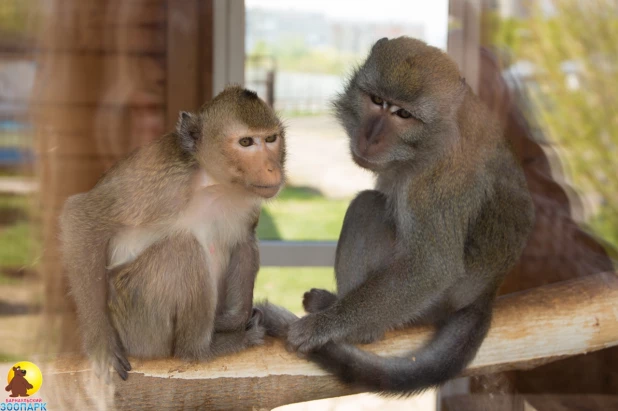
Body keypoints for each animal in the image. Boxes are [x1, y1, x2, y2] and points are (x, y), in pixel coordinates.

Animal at [59, 85, 286, 382]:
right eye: (246, 142)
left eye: (271, 138)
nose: (272, 168)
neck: (214, 182)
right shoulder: (160, 181)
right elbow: (80, 217)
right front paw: (101, 346)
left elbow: (245, 241)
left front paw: (233, 320)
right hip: (137, 325)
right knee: (181, 249)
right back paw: (201, 348)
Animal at [262, 37, 532, 394]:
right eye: (377, 100)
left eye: (403, 114)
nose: (371, 135)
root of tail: (486, 293)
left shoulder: (434, 181)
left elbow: (430, 267)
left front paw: (325, 325)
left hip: (428, 307)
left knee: (366, 207)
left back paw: (358, 327)